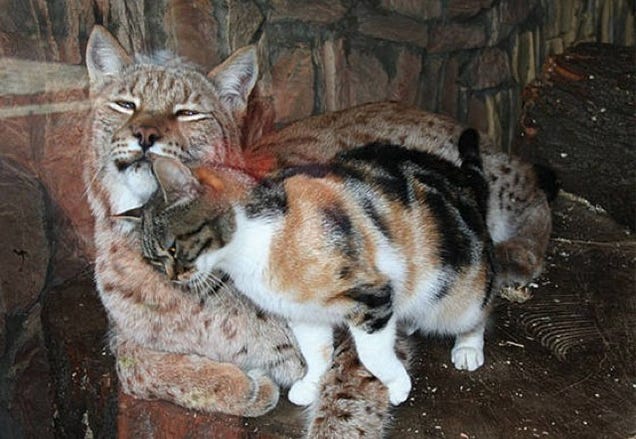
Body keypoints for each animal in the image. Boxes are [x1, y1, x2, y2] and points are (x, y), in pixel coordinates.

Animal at [128, 131, 496, 410]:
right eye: (155, 260)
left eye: (172, 248)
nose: (172, 277)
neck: (255, 242)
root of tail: (463, 180)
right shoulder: (302, 311)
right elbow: (315, 351)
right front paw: (311, 384)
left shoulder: (371, 296)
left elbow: (372, 353)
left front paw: (396, 385)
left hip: (457, 296)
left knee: (479, 310)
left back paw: (467, 349)